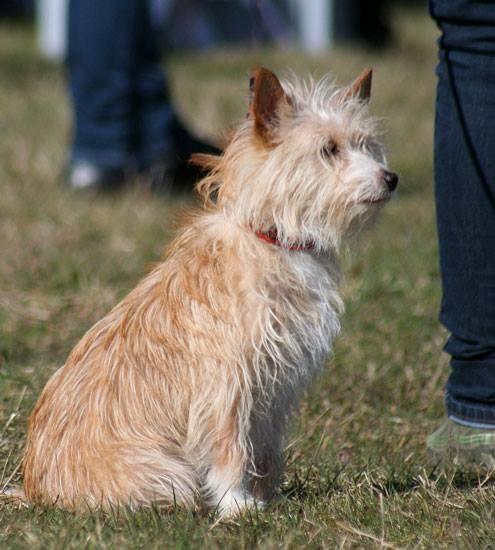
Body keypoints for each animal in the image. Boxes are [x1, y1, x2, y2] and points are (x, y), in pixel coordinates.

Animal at [17, 68, 402, 516]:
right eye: (329, 149)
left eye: (367, 145)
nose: (390, 179)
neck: (272, 237)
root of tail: (35, 491)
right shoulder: (227, 385)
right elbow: (231, 447)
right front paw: (236, 503)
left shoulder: (274, 389)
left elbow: (266, 450)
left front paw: (264, 496)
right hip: (168, 474)